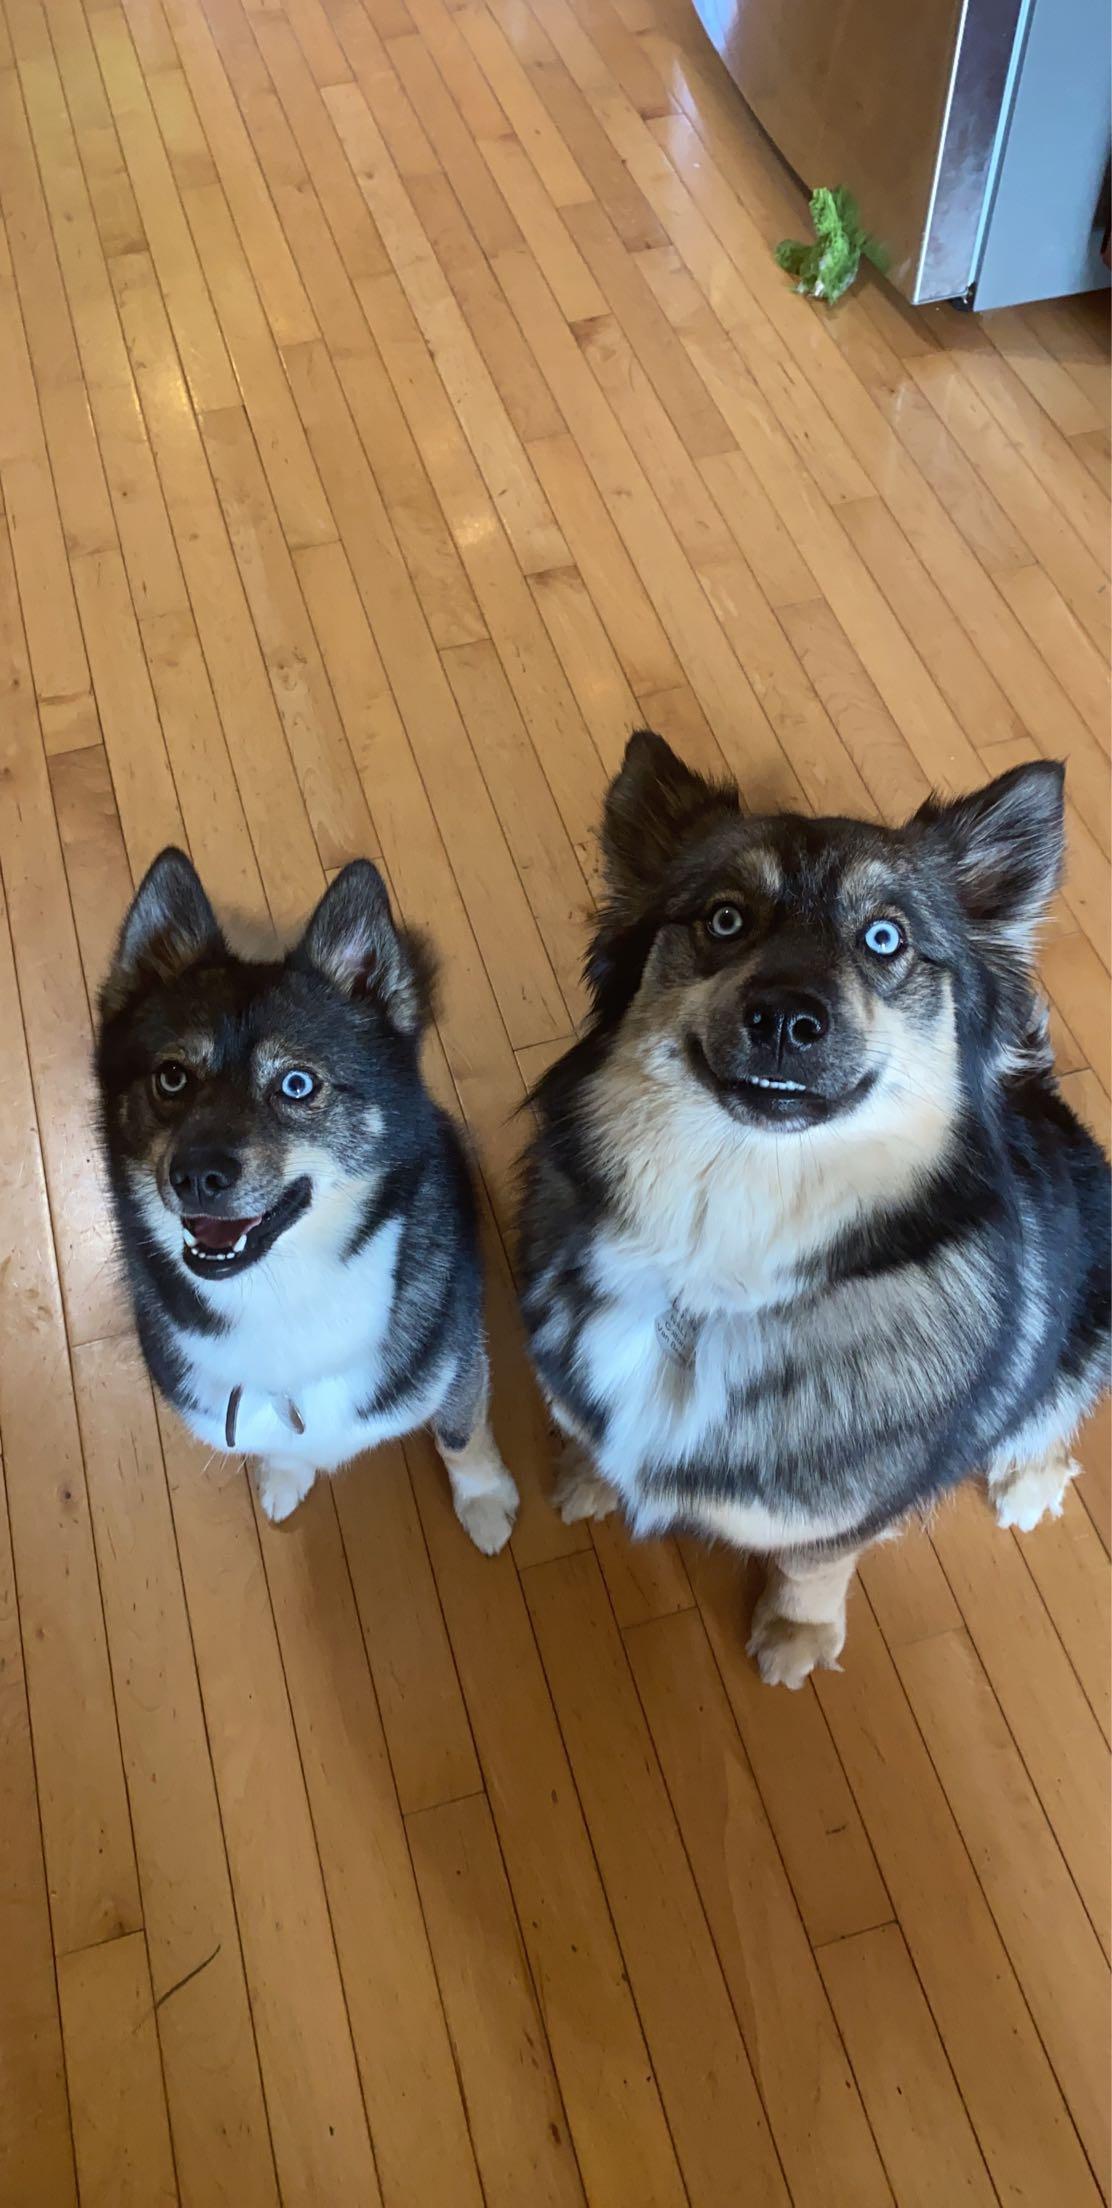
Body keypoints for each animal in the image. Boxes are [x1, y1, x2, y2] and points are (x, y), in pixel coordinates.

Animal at [96, 849, 518, 1547]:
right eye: (172, 1077)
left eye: (297, 1084)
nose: (197, 1175)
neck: (282, 1296)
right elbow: (281, 1444)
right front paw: (286, 1475)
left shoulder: (457, 1355)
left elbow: (460, 1433)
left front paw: (483, 1499)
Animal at [518, 731, 1110, 1687]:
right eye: (725, 919)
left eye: (884, 938)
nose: (786, 1019)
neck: (721, 1250)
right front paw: (590, 1475)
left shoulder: (846, 1512)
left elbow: (812, 1562)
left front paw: (797, 1633)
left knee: (1054, 1404)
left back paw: (1029, 1480)